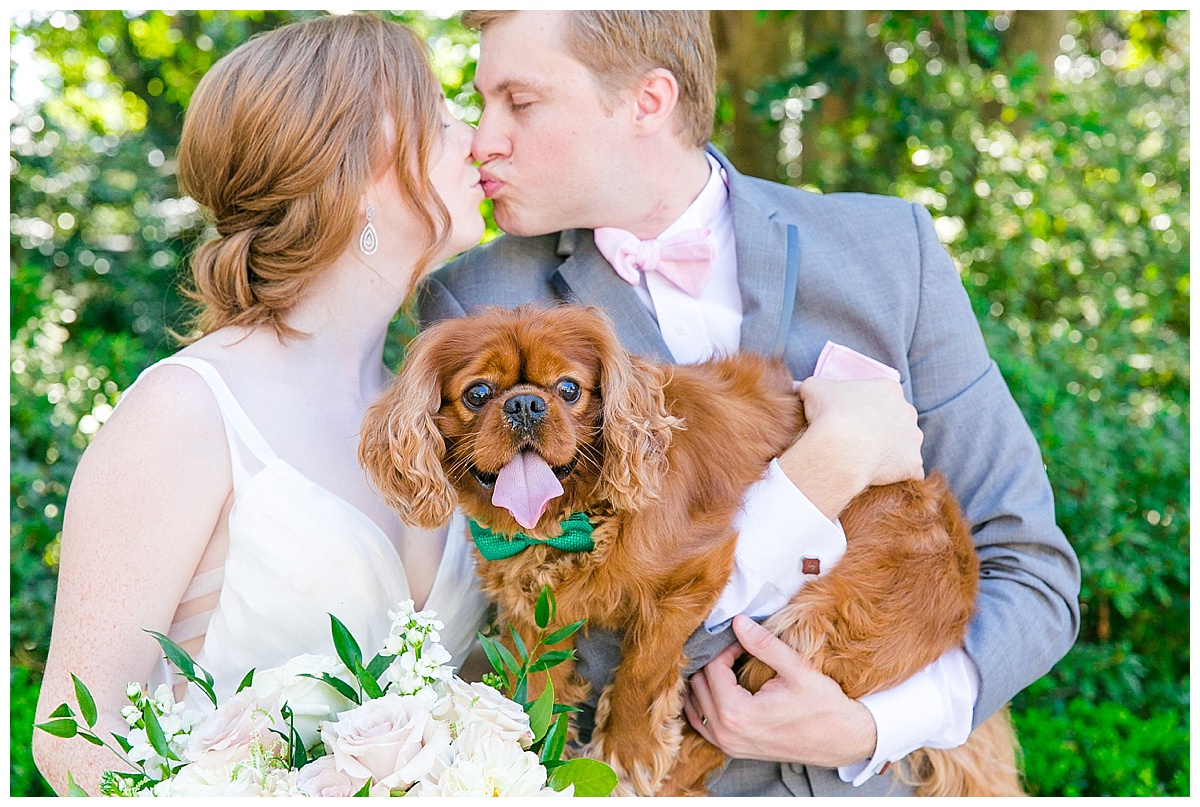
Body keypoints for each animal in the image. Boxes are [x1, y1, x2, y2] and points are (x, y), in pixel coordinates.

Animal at [357, 302, 1022, 792]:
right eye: (477, 394)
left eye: (569, 388)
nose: (524, 403)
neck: (573, 519)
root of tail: (965, 571)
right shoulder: (529, 612)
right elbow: (537, 682)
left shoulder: (697, 572)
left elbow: (645, 666)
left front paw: (628, 749)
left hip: (817, 625)